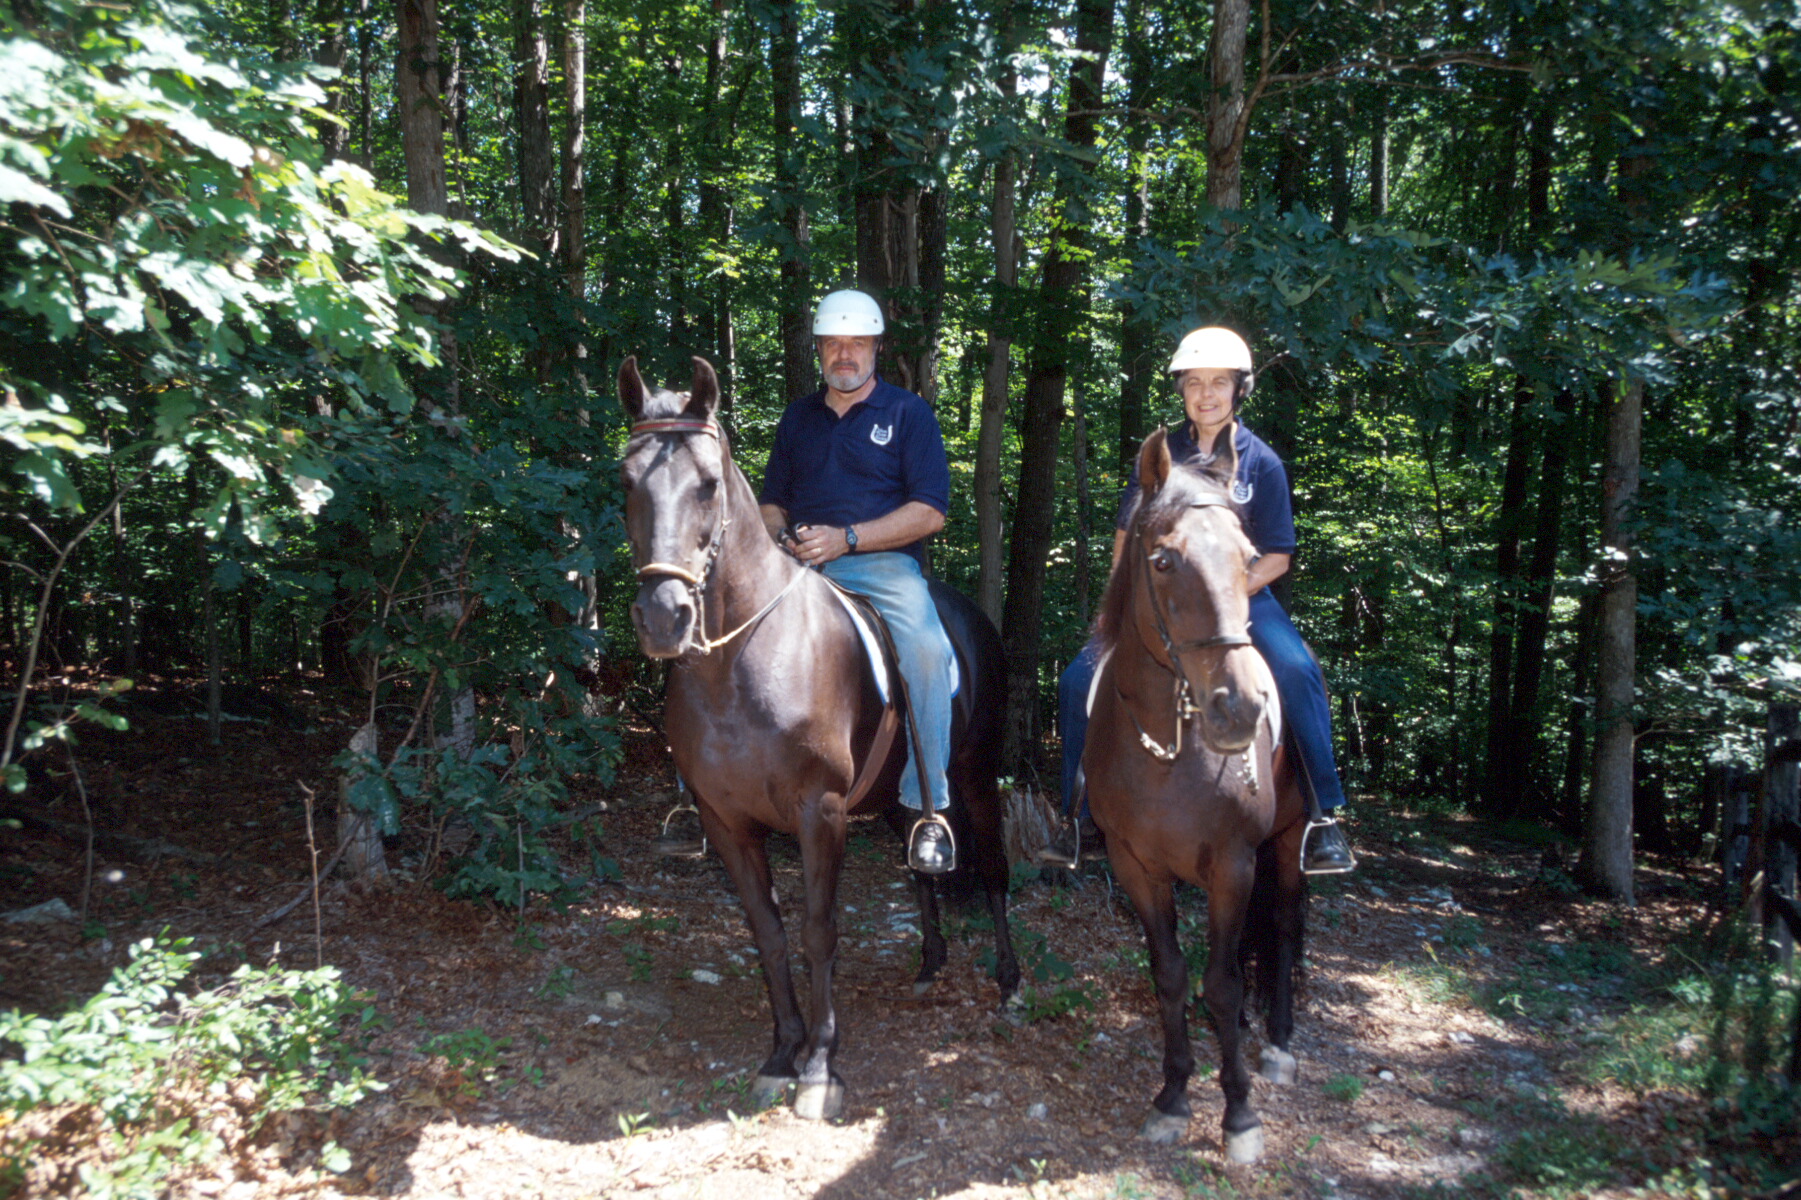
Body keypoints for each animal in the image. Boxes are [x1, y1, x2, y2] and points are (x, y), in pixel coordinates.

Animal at [615, 351, 1015, 1117]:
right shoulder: (726, 821)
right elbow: (769, 934)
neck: (739, 664)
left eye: (708, 484)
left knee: (994, 870)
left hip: (977, 777)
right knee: (920, 866)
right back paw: (930, 962)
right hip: (896, 799)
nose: (663, 616)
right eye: (626, 481)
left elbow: (818, 931)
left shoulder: (818, 811)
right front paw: (782, 1052)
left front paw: (822, 1067)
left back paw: (1011, 982)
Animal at [1080, 423, 1311, 1160]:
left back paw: (1278, 1045)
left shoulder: (1232, 865)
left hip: (1290, 842)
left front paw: (1238, 1114)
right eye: (1161, 560)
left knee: (1285, 927)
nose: (1236, 710)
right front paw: (1174, 1096)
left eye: (1247, 557)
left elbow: (1222, 981)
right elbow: (1173, 977)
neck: (1168, 748)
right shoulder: (1136, 866)